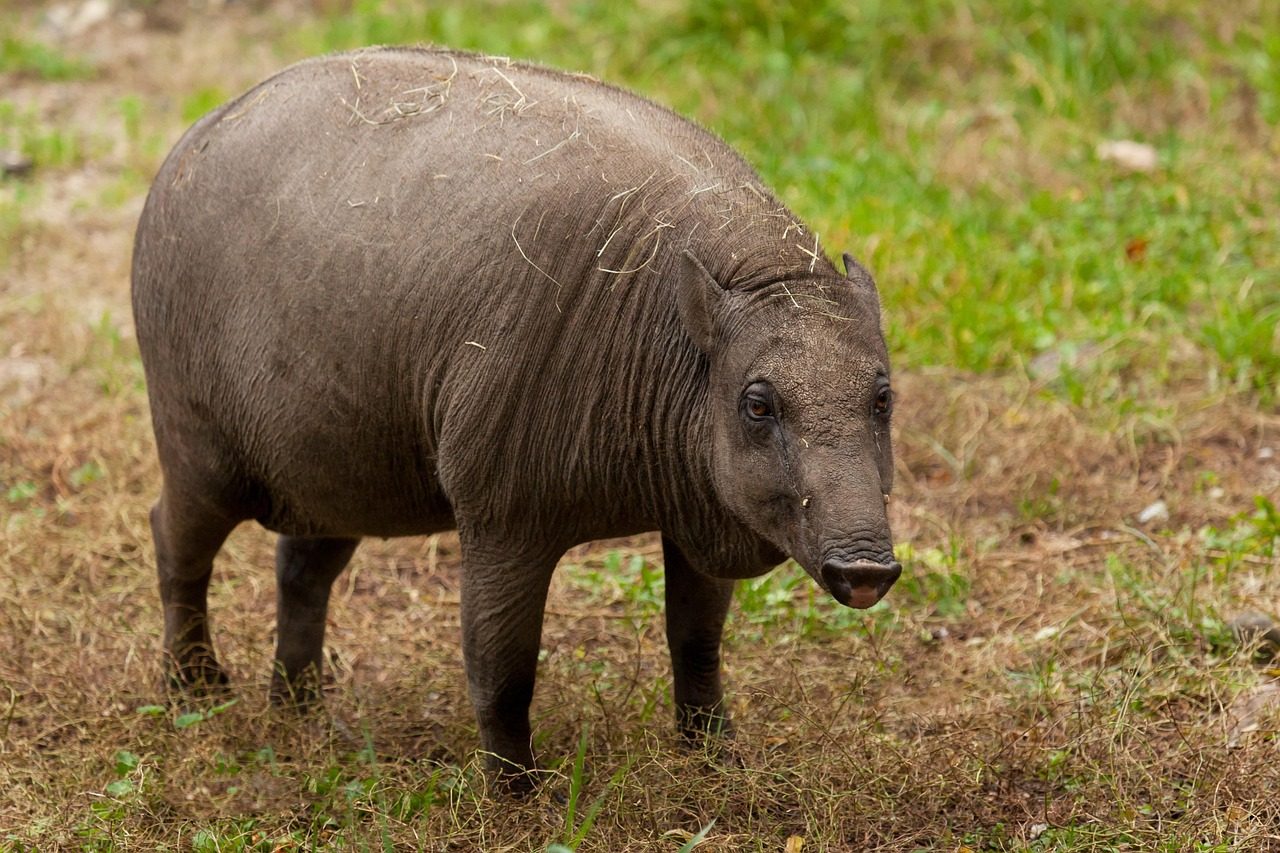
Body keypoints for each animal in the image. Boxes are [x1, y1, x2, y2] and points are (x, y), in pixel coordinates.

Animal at [131, 47, 901, 785]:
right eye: (758, 402)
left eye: (883, 397)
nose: (866, 569)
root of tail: (189, 143)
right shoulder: (504, 526)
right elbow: (501, 672)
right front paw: (517, 793)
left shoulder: (702, 517)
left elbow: (696, 644)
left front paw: (717, 761)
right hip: (200, 455)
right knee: (175, 544)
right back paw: (195, 688)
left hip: (338, 477)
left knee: (300, 570)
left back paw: (301, 708)